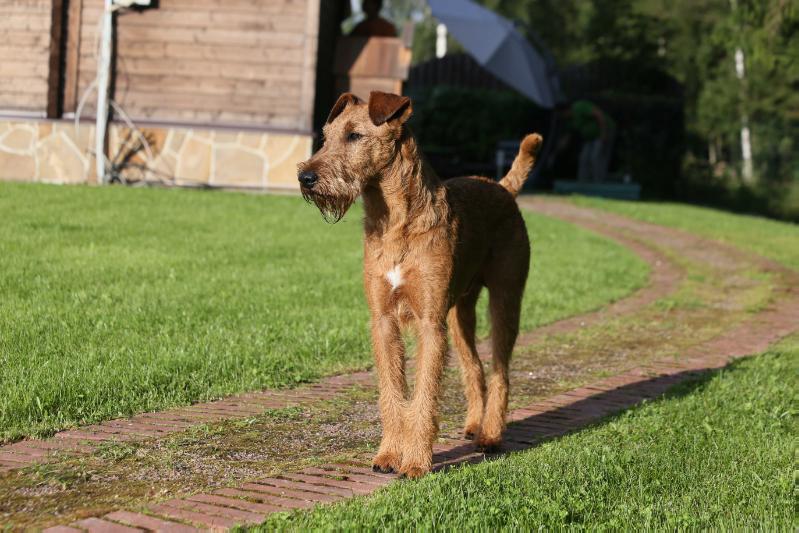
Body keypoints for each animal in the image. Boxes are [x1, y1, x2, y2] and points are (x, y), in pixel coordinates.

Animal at [300, 91, 544, 478]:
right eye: (325, 136)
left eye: (354, 135)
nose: (305, 177)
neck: (395, 223)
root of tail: (502, 188)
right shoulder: (383, 321)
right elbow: (392, 393)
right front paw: (388, 454)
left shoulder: (429, 323)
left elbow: (424, 395)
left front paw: (415, 462)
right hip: (460, 314)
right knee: (474, 367)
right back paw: (474, 425)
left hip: (505, 301)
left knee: (500, 371)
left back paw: (491, 435)